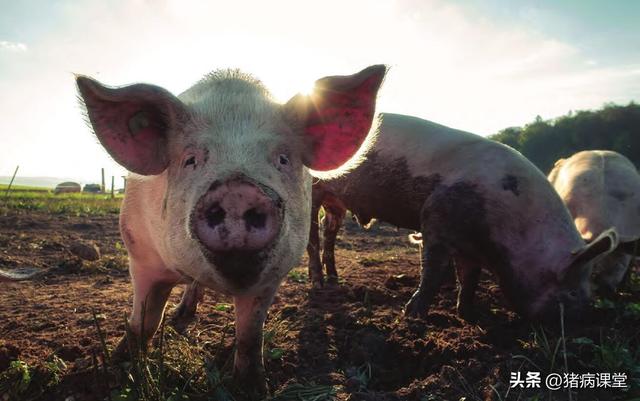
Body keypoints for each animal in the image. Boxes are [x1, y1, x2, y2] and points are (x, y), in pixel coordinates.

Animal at [75, 64, 384, 396]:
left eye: (283, 159)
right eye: (190, 159)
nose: (238, 191)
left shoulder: (272, 276)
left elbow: (250, 336)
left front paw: (253, 389)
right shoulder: (140, 255)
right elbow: (144, 322)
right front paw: (117, 369)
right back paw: (180, 316)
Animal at [308, 112, 616, 322]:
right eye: (572, 291)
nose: (585, 321)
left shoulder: (470, 246)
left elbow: (469, 278)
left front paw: (469, 314)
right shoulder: (435, 218)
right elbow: (433, 271)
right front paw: (412, 315)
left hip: (337, 202)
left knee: (328, 228)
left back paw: (334, 279)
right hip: (314, 189)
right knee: (312, 234)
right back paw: (318, 282)